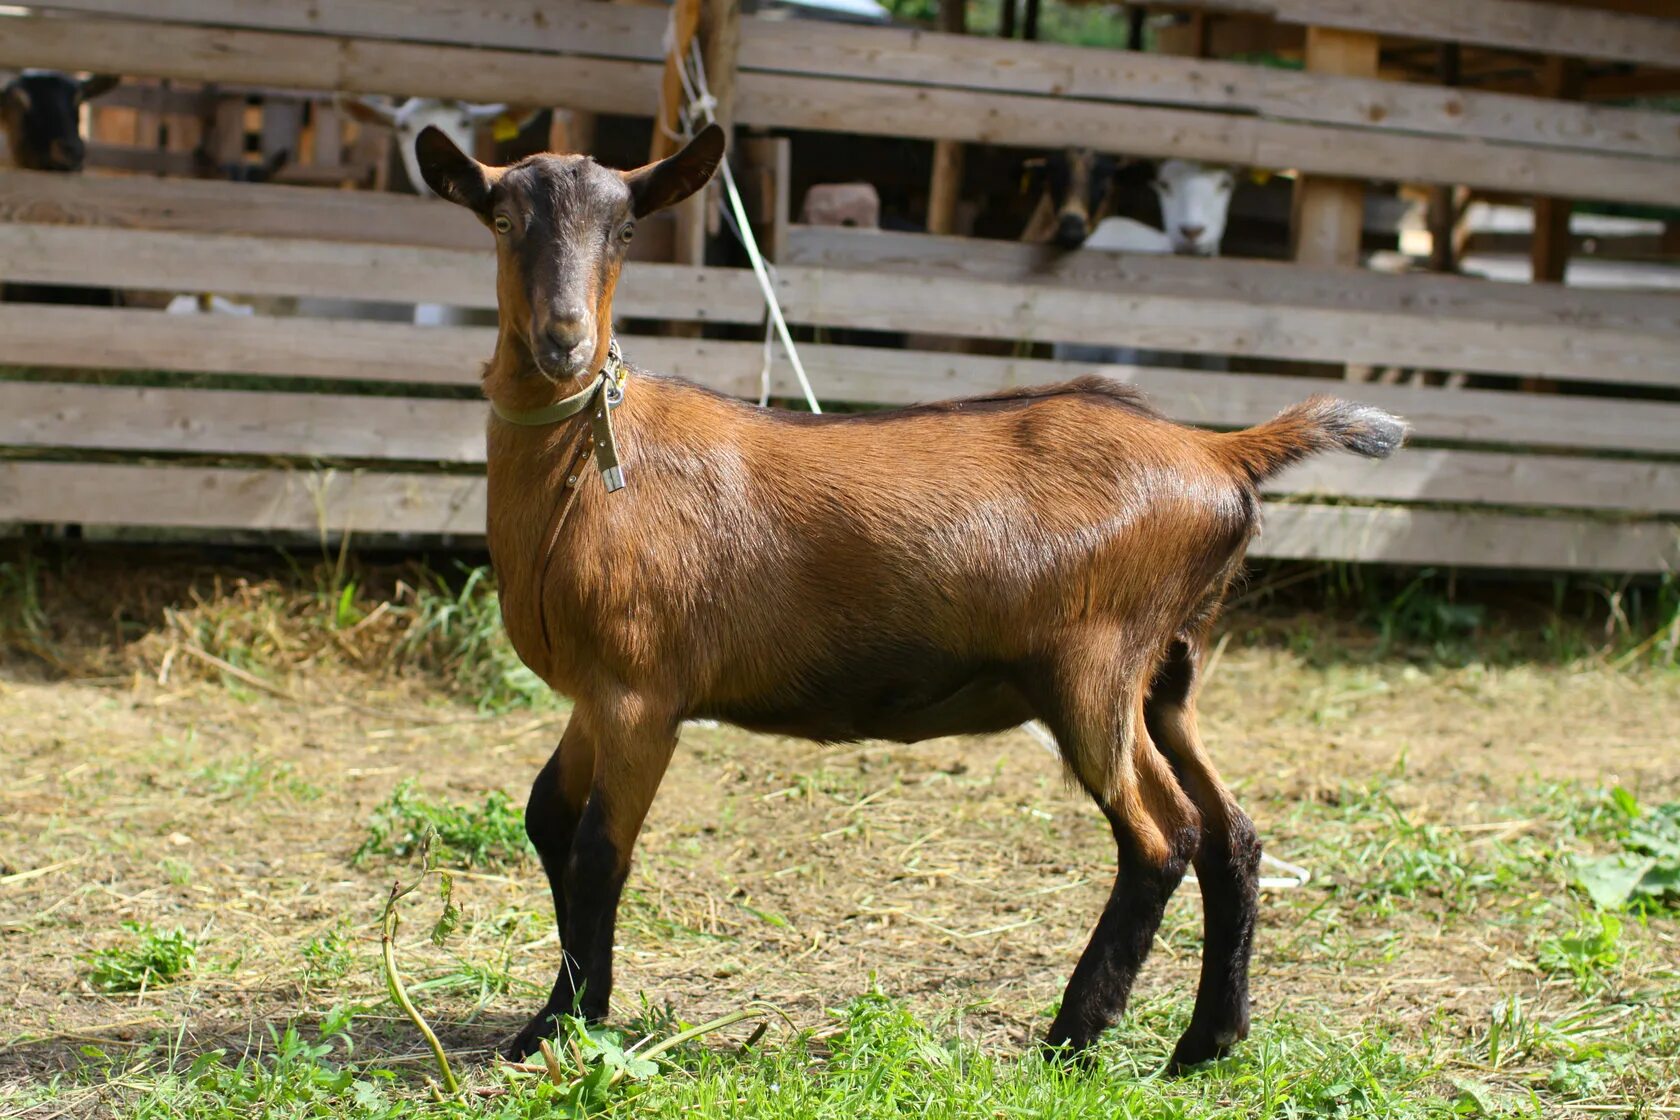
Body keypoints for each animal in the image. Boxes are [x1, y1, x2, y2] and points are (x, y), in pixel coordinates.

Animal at [416, 120, 1404, 1067]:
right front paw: (570, 1014)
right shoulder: (595, 694)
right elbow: (546, 816)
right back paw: (1207, 1042)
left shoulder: (640, 691)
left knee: (1164, 838)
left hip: (1095, 666)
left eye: (626, 229)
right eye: (501, 221)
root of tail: (1219, 451)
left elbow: (597, 852)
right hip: (1168, 672)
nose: (566, 343)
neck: (587, 468)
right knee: (1233, 832)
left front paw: (561, 1028)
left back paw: (1074, 1036)